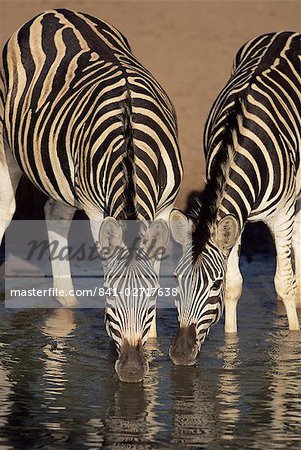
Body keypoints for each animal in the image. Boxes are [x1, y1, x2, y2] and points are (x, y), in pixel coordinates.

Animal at [0, 8, 182, 382]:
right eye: (109, 301)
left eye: (152, 301)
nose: (131, 372)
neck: (130, 143)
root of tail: (54, 11)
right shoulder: (98, 211)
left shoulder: (165, 206)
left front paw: (153, 345)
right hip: (6, 141)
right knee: (6, 207)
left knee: (55, 212)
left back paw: (67, 303)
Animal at [169, 32, 300, 370]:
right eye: (176, 279)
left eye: (212, 285)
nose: (181, 355)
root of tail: (285, 34)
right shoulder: (234, 219)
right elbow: (235, 285)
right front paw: (231, 349)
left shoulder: (281, 215)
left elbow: (283, 281)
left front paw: (292, 341)